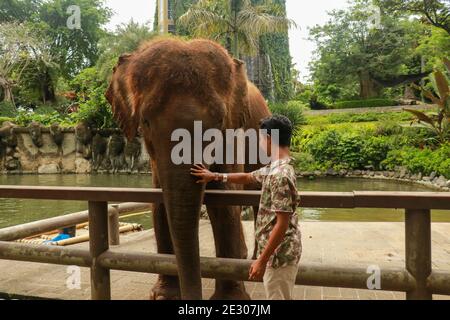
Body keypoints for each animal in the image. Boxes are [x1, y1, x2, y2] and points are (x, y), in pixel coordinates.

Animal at [105, 37, 270, 300]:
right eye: (145, 122)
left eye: (220, 122)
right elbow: (160, 204)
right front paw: (165, 296)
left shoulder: (233, 133)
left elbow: (224, 204)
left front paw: (230, 299)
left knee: (256, 198)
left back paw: (253, 262)